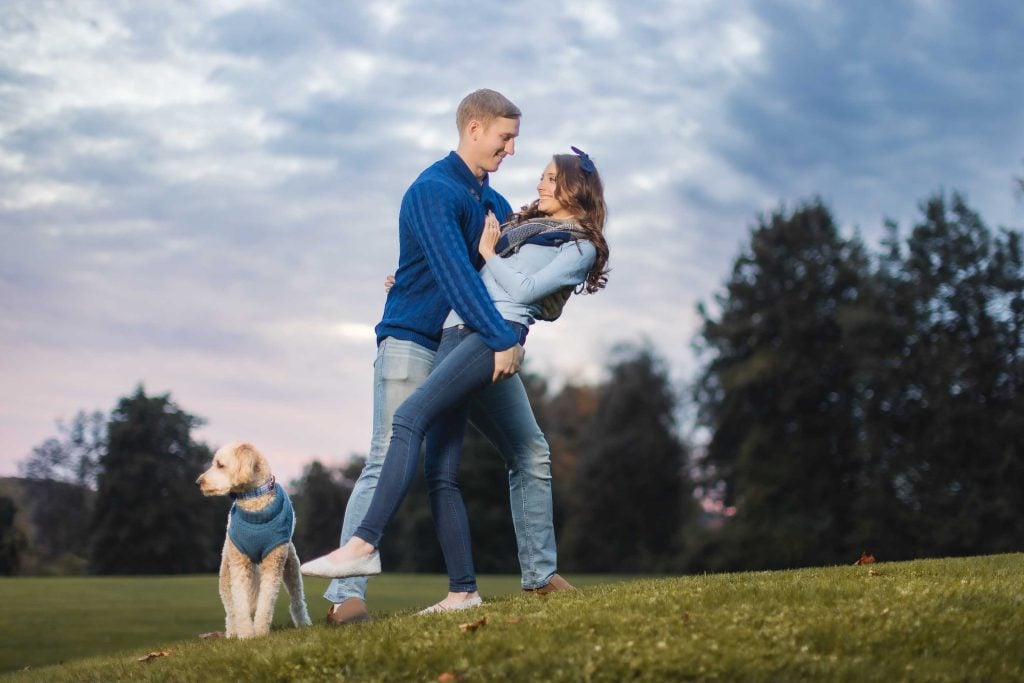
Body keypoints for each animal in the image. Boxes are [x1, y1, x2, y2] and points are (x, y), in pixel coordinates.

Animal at [195, 440, 311, 638]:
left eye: (220, 465)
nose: (198, 483)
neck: (254, 501)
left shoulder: (274, 562)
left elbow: (266, 601)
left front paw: (260, 632)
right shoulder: (239, 563)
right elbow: (240, 603)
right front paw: (247, 635)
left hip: (291, 566)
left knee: (297, 599)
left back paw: (303, 623)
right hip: (225, 573)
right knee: (231, 610)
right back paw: (232, 633)